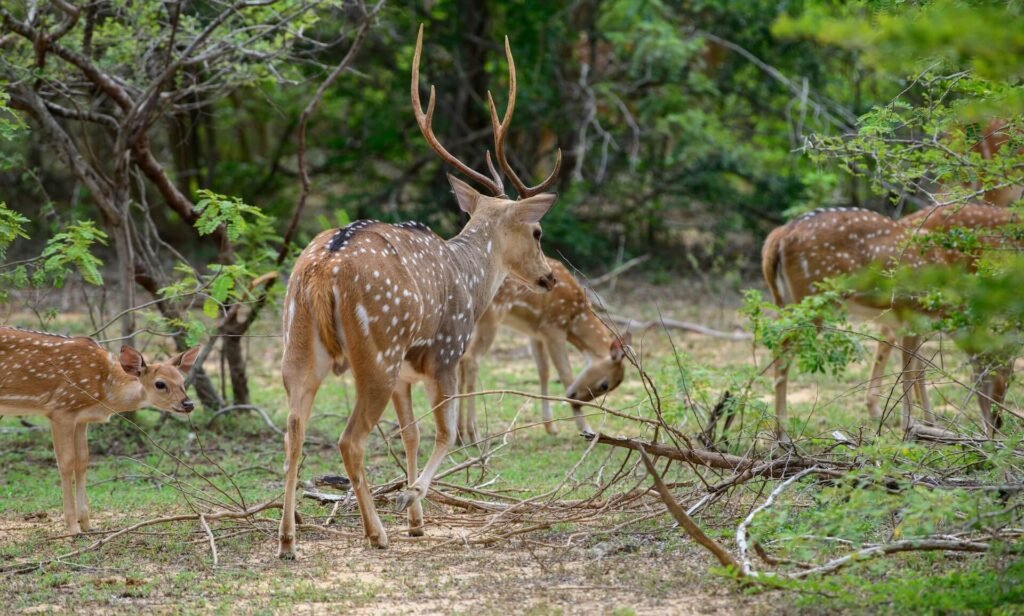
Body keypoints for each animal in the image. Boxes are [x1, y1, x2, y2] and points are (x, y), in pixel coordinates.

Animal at [0, 327, 200, 534]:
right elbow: (66, 463)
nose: (188, 404)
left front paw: (87, 524)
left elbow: (82, 461)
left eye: (182, 380)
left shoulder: (81, 418)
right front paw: (73, 528)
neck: (104, 390)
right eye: (160, 384)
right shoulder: (61, 409)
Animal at [277, 25, 562, 558]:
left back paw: (287, 541)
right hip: (377, 352)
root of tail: (324, 270)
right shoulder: (444, 353)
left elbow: (410, 435)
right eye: (536, 233)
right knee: (349, 440)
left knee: (294, 433)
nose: (549, 278)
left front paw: (418, 522)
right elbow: (445, 434)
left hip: (299, 348)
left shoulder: (408, 375)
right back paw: (376, 533)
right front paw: (411, 498)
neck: (469, 275)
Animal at [457, 258, 630, 443]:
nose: (574, 399)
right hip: (493, 312)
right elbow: (565, 373)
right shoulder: (553, 327)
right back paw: (474, 435)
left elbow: (544, 370)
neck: (574, 318)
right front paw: (586, 429)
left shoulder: (535, 332)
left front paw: (550, 427)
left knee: (460, 360)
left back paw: (459, 435)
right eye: (605, 385)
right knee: (471, 359)